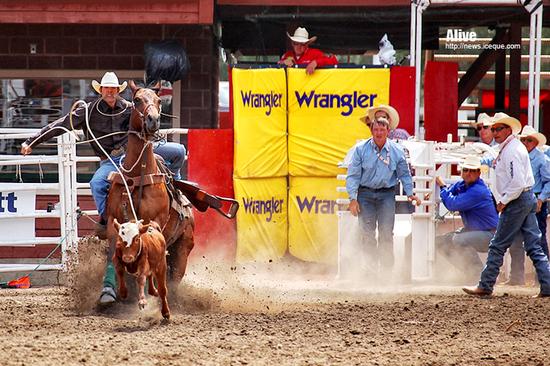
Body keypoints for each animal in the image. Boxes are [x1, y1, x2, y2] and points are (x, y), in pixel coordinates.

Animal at [104, 81, 195, 292]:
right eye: (137, 100)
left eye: (159, 100)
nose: (153, 120)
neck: (139, 175)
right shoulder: (113, 222)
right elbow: (114, 255)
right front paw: (109, 292)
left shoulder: (154, 222)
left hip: (182, 251)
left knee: (173, 277)